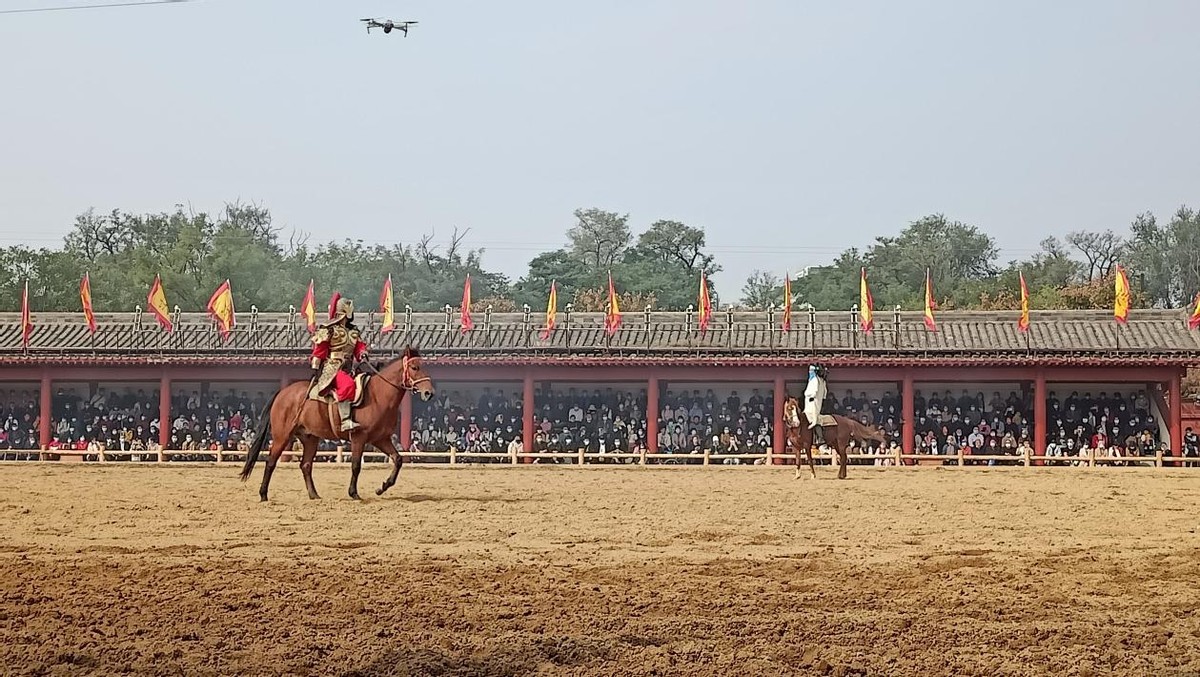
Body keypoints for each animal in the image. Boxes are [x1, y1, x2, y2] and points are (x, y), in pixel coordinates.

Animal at [238, 345, 436, 499]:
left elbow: (398, 460)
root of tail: (282, 393)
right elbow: (356, 465)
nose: (429, 393)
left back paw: (314, 495)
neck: (378, 395)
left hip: (310, 438)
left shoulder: (381, 439)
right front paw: (353, 493)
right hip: (282, 436)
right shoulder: (359, 438)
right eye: (415, 367)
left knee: (306, 465)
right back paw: (263, 494)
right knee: (271, 462)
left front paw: (382, 487)